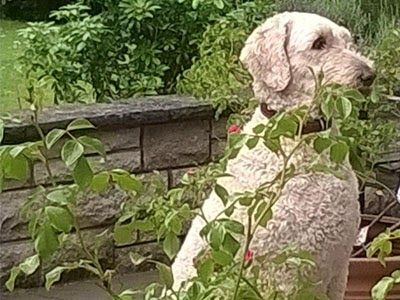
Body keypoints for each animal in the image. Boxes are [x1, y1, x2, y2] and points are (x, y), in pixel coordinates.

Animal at [172, 11, 376, 298]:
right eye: (319, 43)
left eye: (348, 41)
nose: (369, 75)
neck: (299, 137)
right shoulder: (284, 271)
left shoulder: (339, 269)